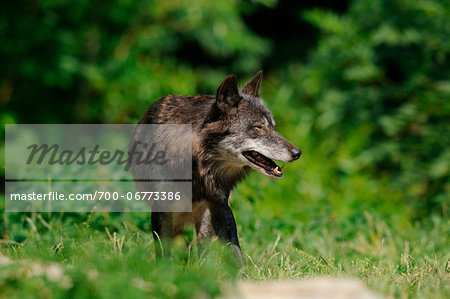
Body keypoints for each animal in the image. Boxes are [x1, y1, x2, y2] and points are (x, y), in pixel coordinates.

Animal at [130, 71, 302, 262]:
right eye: (258, 127)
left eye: (273, 127)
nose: (297, 153)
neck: (197, 166)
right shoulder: (162, 207)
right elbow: (163, 250)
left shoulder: (219, 204)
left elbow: (234, 247)